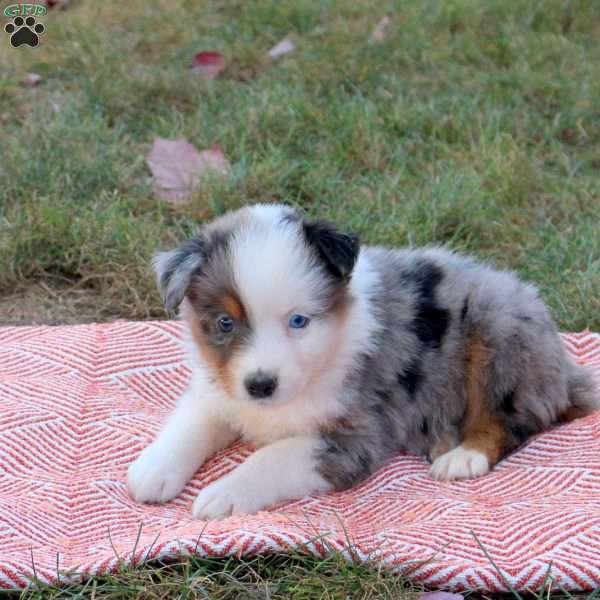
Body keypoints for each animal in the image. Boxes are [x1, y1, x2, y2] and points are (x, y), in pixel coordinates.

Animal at [127, 204, 600, 516]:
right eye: (225, 323)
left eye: (298, 320)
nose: (261, 385)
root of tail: (562, 368)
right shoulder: (221, 388)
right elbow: (192, 422)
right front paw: (153, 469)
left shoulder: (356, 436)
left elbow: (274, 456)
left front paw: (224, 494)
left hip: (498, 329)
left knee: (511, 420)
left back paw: (463, 455)